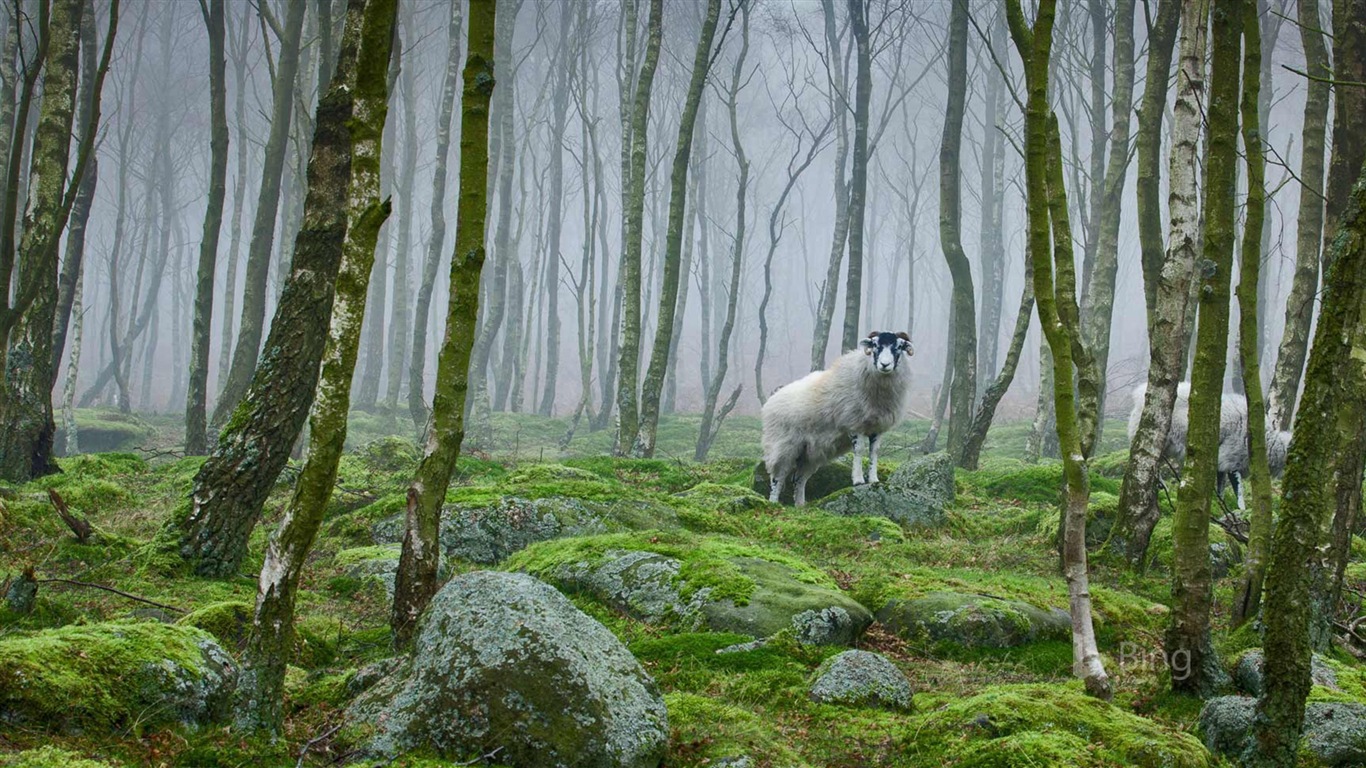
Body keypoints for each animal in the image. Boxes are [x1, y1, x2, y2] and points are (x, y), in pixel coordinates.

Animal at [764, 327, 912, 502]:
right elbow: (859, 450)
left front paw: (874, 479)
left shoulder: (877, 428)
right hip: (781, 445)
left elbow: (874, 452)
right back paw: (774, 503)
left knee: (799, 479)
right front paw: (858, 480)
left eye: (899, 346)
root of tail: (771, 399)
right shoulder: (854, 423)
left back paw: (800, 504)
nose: (885, 365)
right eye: (875, 345)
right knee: (777, 479)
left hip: (809, 453)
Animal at [1120, 379, 1289, 505]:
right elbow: (1237, 489)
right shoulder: (1231, 459)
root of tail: (1139, 394)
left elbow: (1221, 484)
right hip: (1156, 438)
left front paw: (1221, 502)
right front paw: (1238, 509)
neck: (1268, 441)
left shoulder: (1223, 461)